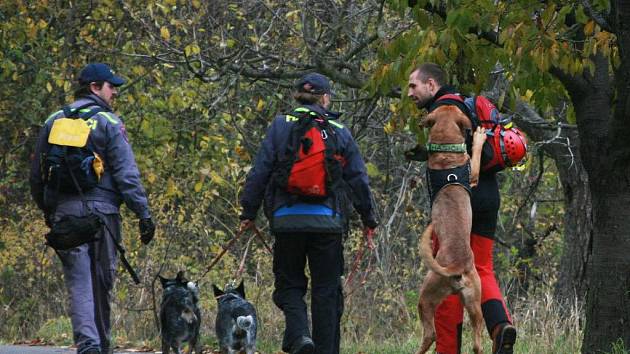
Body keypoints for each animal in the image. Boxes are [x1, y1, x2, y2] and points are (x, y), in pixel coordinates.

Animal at [420, 106, 488, 354]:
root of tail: (456, 267)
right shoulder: (474, 174)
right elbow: (476, 156)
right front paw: (479, 138)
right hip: (435, 296)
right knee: (434, 334)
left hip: (471, 301)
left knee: (473, 340)